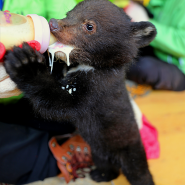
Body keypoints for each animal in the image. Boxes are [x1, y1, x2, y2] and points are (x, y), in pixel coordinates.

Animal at [4, 0, 157, 184]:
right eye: (68, 13)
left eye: (89, 26)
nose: (53, 23)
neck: (87, 66)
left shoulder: (96, 90)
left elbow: (61, 104)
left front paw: (24, 63)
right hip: (97, 152)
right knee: (108, 166)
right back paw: (100, 174)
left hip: (129, 151)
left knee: (138, 172)